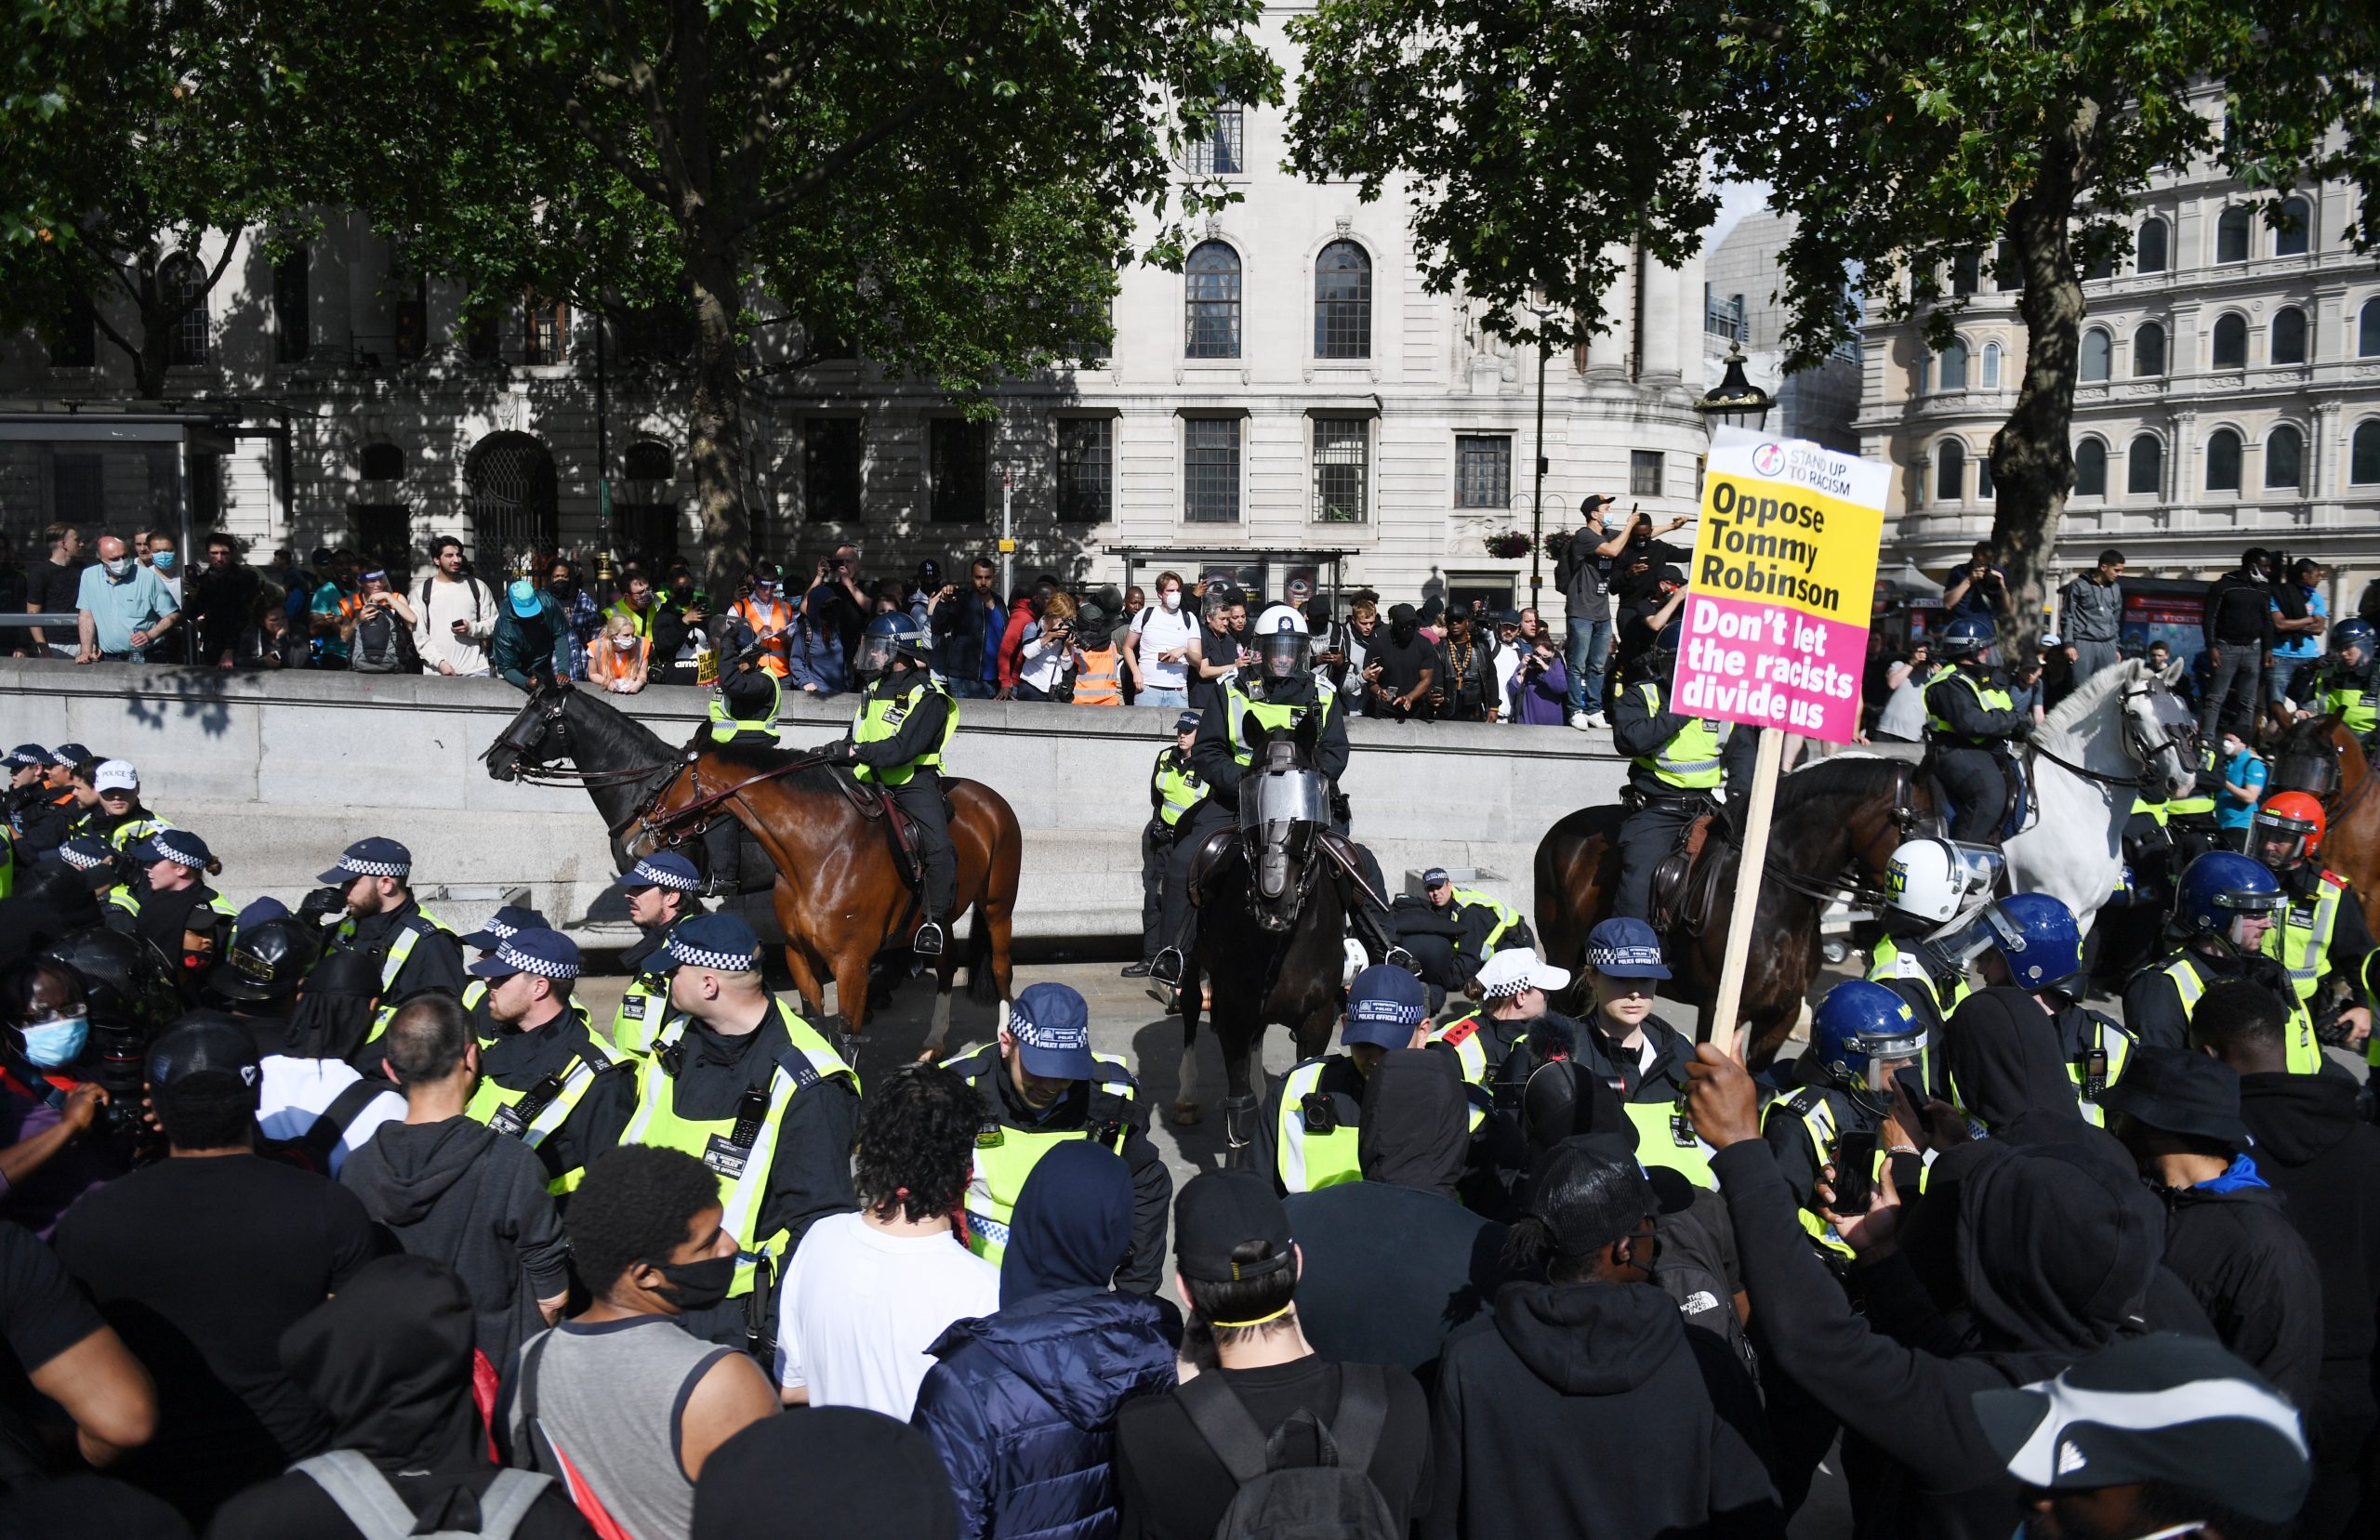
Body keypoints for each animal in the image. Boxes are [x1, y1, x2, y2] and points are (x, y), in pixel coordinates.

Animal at [478, 680, 1018, 1051]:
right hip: (942, 911)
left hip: (996, 906)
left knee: (998, 968)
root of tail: (987, 797)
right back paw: (931, 1036)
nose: (494, 761)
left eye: (537, 714)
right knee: (943, 959)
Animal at [1532, 752, 1923, 1066]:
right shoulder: (1720, 1011)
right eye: (1913, 821)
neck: (1774, 902)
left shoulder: (1778, 1015)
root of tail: (1559, 830)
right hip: (1563, 957)